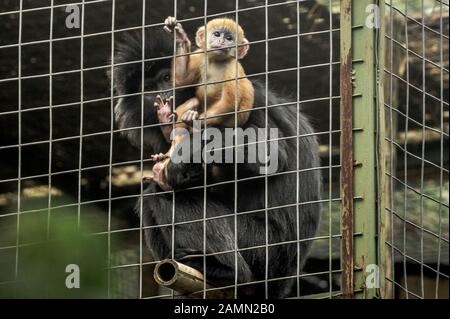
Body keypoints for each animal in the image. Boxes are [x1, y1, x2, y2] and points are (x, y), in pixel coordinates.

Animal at [148, 16, 253, 189]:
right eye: (217, 34)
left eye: (229, 38)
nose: (221, 41)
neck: (217, 61)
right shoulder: (200, 56)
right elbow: (181, 79)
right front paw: (180, 37)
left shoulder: (233, 69)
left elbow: (230, 103)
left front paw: (194, 121)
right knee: (192, 102)